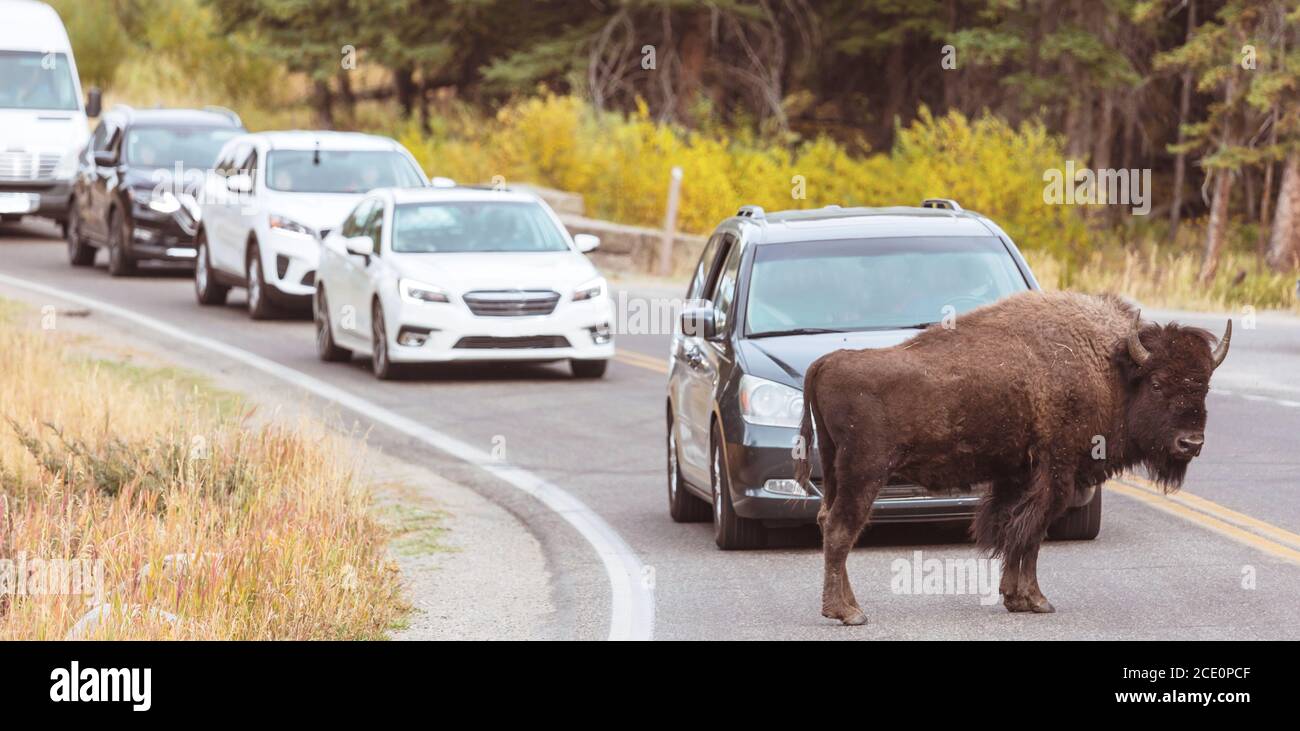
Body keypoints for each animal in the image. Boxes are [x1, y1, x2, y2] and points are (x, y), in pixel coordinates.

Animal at [793, 291, 1230, 625]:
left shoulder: (1018, 476)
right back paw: (848, 613)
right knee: (841, 530)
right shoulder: (1056, 475)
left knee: (827, 522)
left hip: (835, 470)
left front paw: (1013, 597)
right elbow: (1031, 535)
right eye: (1157, 383)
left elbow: (1013, 532)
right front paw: (1036, 600)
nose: (1190, 443)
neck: (1107, 366)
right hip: (864, 474)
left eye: (1205, 385)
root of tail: (826, 363)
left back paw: (846, 606)